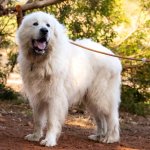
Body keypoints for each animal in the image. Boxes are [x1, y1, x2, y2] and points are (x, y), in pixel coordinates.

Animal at [16, 11, 122, 146]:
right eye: (35, 24)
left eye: (48, 25)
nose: (44, 31)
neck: (43, 60)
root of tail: (114, 58)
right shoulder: (37, 97)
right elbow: (38, 120)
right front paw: (35, 136)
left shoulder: (55, 98)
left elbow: (52, 121)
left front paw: (49, 140)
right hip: (91, 98)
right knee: (100, 118)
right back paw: (98, 136)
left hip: (102, 96)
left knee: (111, 118)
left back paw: (110, 138)